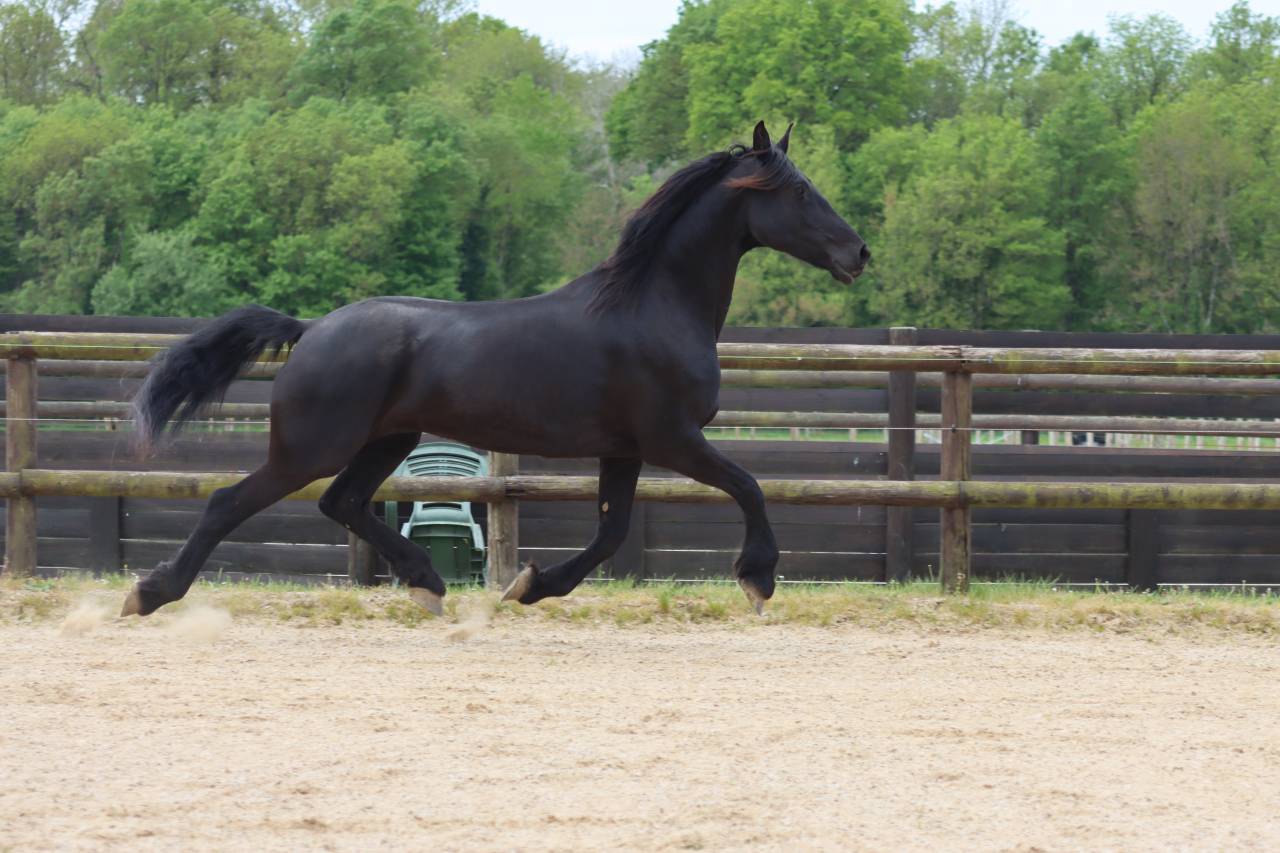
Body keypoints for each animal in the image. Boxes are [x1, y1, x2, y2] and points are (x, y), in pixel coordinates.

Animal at [120, 121, 869, 619]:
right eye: (800, 193)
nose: (858, 253)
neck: (651, 305)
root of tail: (311, 331)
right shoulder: (673, 438)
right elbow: (749, 486)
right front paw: (758, 579)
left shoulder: (624, 448)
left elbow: (610, 533)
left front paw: (530, 584)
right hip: (312, 446)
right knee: (231, 501)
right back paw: (149, 593)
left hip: (387, 439)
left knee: (343, 502)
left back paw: (427, 582)